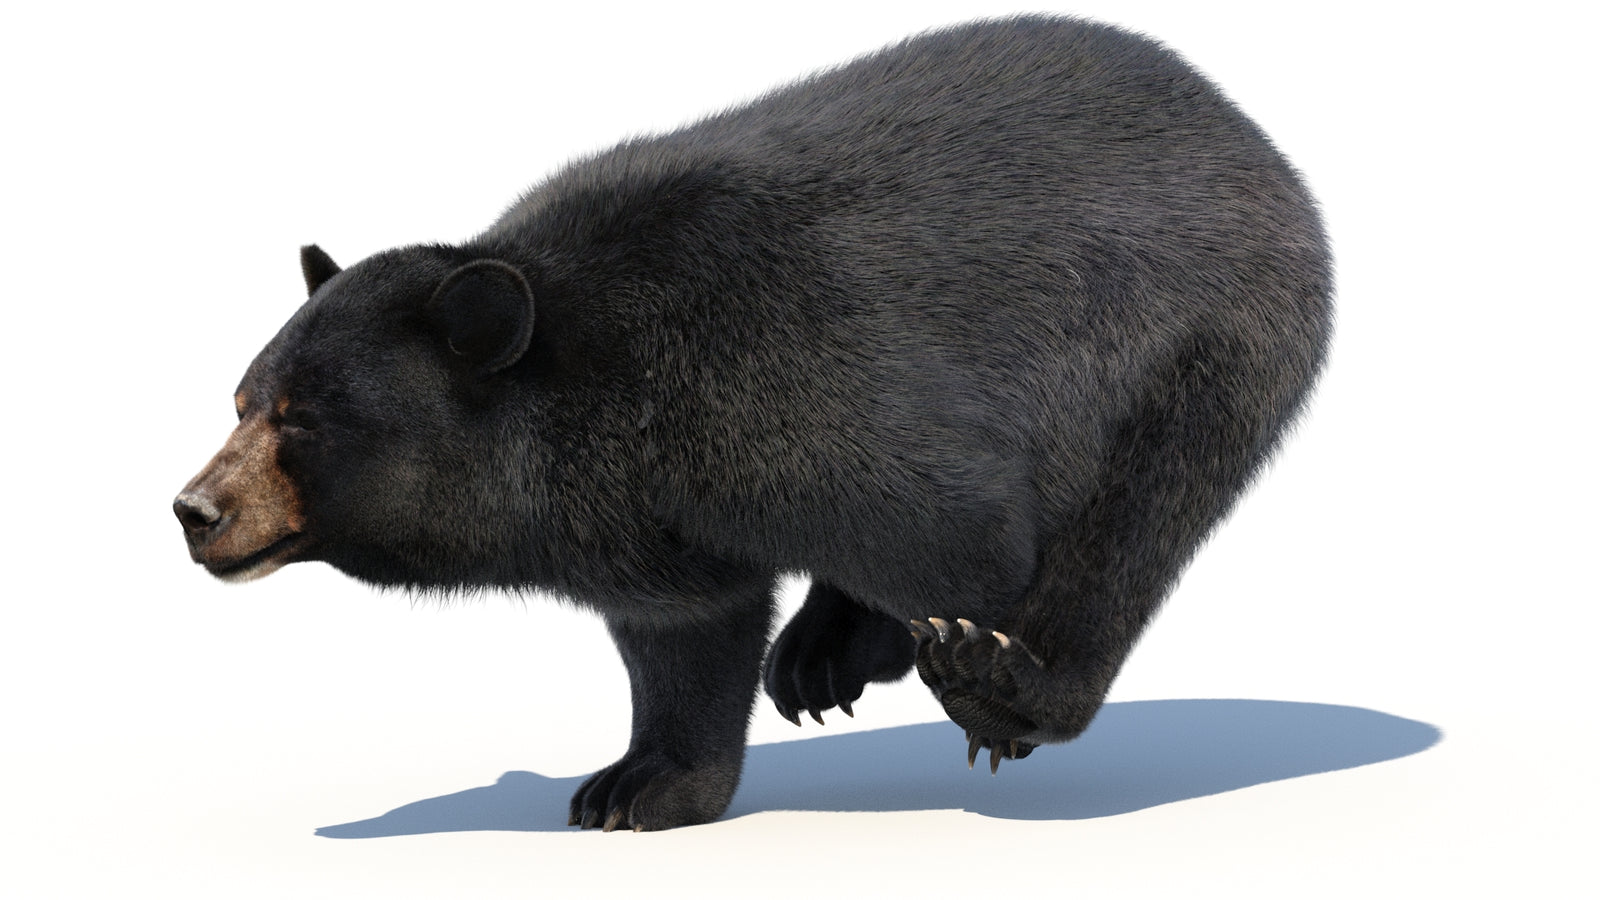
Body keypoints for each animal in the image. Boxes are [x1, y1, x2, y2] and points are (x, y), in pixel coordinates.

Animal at [174, 16, 1332, 832]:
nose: (194, 509)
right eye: (240, 400)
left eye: (306, 418)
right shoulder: (647, 518)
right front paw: (635, 783)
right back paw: (825, 652)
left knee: (1137, 519)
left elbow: (969, 532)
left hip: (1209, 340)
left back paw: (989, 682)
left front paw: (977, 659)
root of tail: (1249, 132)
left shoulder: (792, 385)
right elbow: (685, 633)